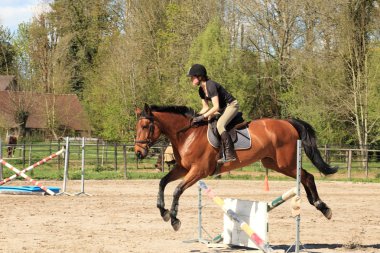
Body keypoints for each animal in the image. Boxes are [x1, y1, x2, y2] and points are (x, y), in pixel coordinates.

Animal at [135, 103, 336, 231]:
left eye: (145, 126)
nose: (138, 152)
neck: (187, 134)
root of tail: (287, 122)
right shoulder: (183, 169)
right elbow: (162, 182)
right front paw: (163, 211)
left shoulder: (198, 171)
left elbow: (177, 189)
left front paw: (174, 219)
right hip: (274, 163)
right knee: (304, 177)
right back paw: (317, 204)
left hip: (285, 163)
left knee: (307, 176)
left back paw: (323, 207)